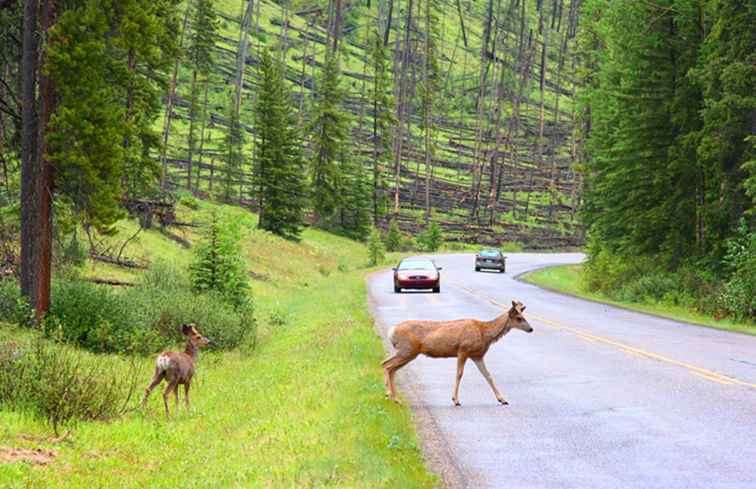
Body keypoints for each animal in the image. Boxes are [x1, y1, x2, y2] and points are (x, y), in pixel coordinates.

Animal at [380, 300, 536, 406]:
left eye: (524, 316)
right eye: (519, 318)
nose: (531, 329)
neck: (484, 333)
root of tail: (391, 331)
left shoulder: (477, 355)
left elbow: (488, 375)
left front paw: (502, 399)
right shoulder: (463, 350)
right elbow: (459, 374)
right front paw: (455, 400)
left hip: (408, 352)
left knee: (389, 367)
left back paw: (394, 398)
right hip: (407, 350)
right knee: (387, 365)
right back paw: (389, 395)